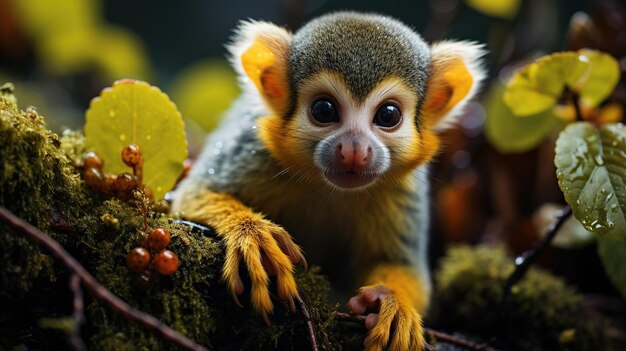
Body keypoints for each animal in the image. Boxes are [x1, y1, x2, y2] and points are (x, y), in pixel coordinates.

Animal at [173, 11, 486, 351]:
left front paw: (394, 303)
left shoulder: (403, 188)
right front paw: (250, 231)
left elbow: (400, 262)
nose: (354, 151)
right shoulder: (255, 148)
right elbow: (193, 192)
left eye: (388, 115)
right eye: (324, 110)